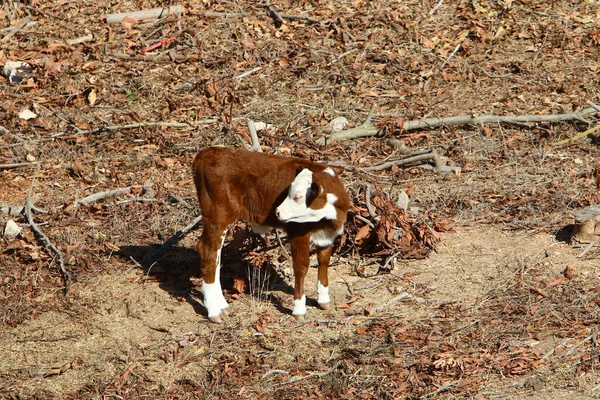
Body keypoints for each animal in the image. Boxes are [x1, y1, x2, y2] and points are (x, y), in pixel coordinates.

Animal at [192, 145, 352, 324]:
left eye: (297, 196)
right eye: (288, 192)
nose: (277, 211)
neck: (330, 217)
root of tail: (208, 153)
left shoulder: (327, 235)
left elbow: (324, 261)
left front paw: (324, 300)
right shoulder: (298, 231)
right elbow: (301, 267)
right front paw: (299, 309)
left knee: (216, 255)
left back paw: (222, 306)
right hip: (217, 214)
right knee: (208, 251)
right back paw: (215, 311)